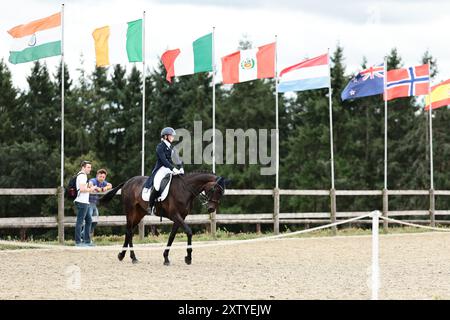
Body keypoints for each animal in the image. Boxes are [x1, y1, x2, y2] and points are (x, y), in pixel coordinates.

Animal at [97, 172, 227, 264]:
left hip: (139, 213)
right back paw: (130, 257)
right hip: (130, 211)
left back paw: (125, 256)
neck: (185, 189)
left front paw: (166, 258)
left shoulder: (180, 217)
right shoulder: (175, 215)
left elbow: (172, 236)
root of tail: (128, 182)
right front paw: (188, 258)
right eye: (214, 190)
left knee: (130, 232)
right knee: (129, 231)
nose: (211, 209)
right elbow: (189, 232)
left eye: (221, 193)